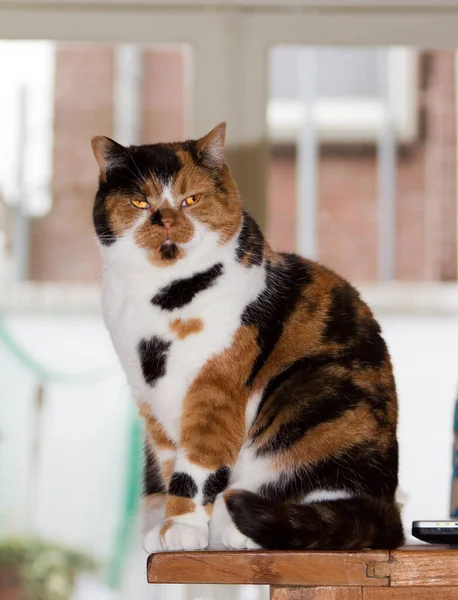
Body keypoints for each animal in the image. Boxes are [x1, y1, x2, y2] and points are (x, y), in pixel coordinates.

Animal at [92, 123, 404, 552]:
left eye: (191, 198)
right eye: (140, 201)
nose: (166, 221)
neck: (161, 295)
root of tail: (386, 507)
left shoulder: (217, 390)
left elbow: (198, 465)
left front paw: (184, 528)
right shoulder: (151, 400)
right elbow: (173, 464)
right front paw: (176, 528)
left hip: (310, 400)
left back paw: (240, 531)